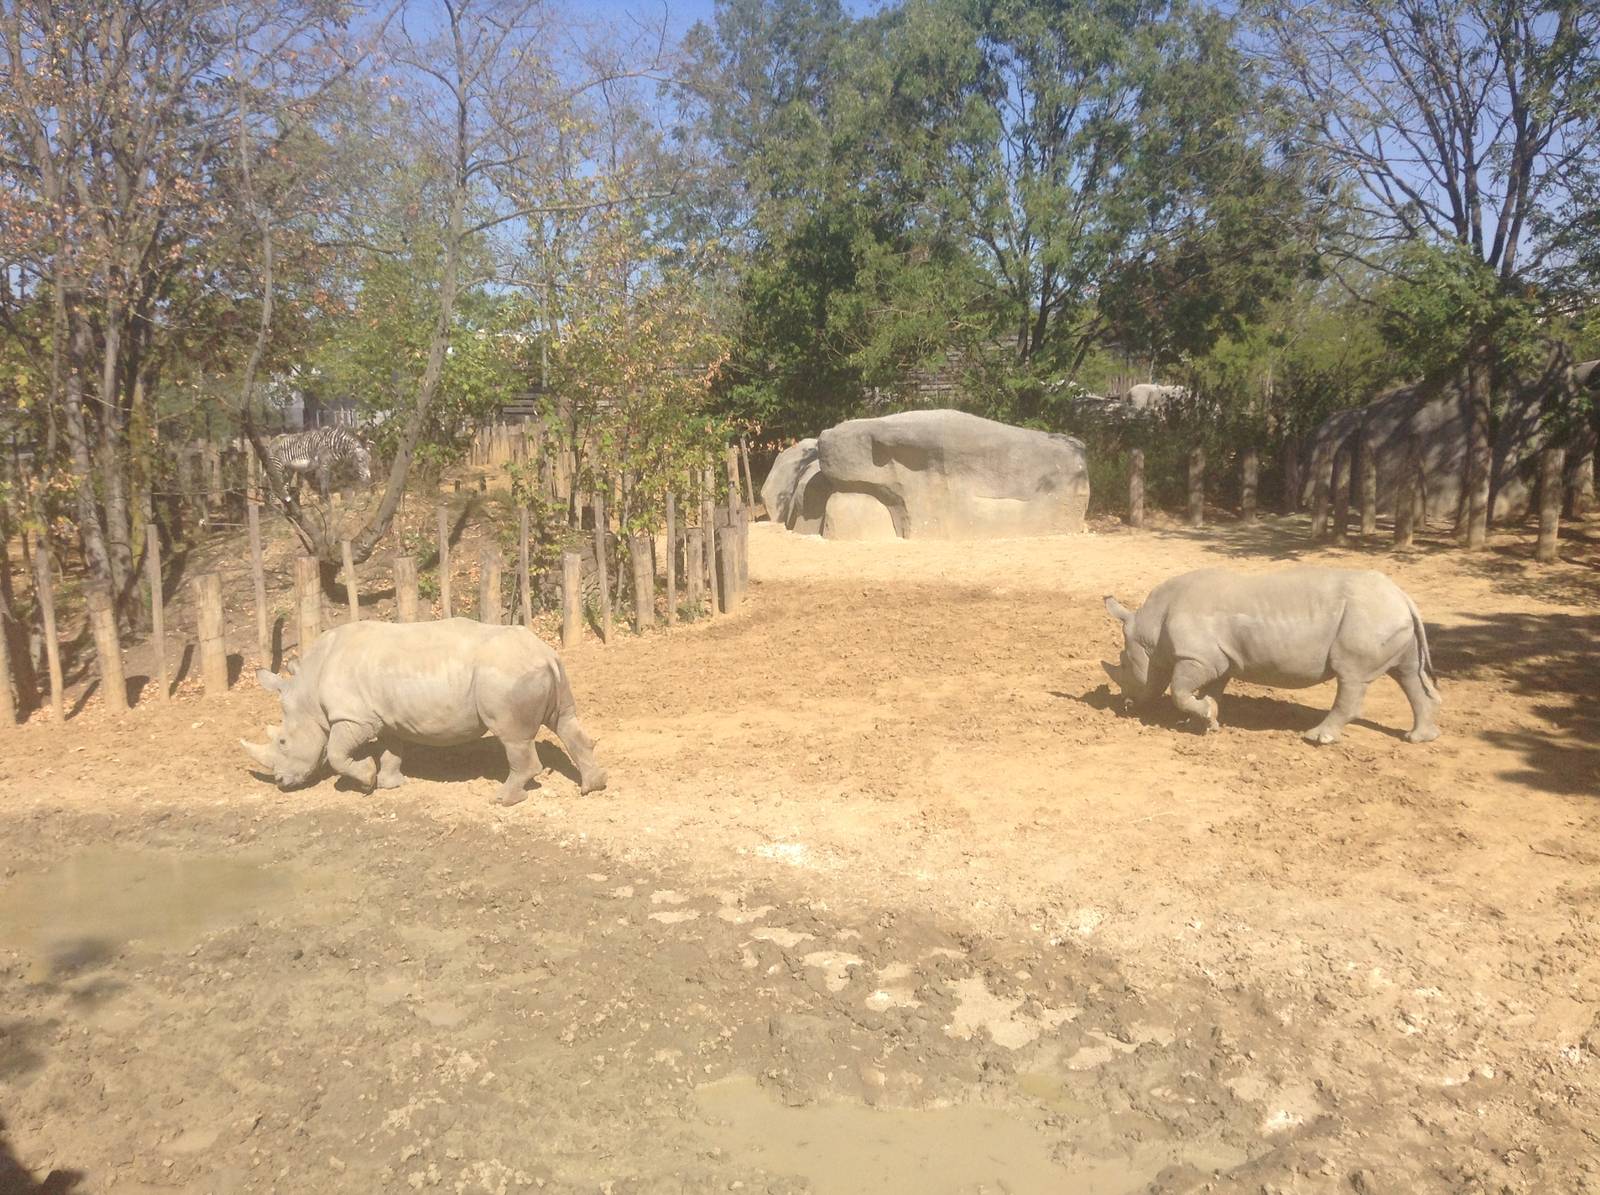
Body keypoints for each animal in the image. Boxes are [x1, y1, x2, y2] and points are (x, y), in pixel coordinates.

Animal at [240, 619, 607, 804]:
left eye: (283, 742)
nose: (281, 782)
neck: (307, 693)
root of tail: (546, 652)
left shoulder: (353, 717)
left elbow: (335, 753)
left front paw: (366, 780)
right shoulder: (385, 717)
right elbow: (391, 749)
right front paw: (389, 784)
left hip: (506, 675)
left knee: (512, 737)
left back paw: (501, 800)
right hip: (543, 668)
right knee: (565, 722)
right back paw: (592, 787)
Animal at [1101, 568, 1440, 744]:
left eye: (1122, 663)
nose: (1125, 705)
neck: (1149, 628)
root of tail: (1403, 596)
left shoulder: (1196, 658)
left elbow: (1179, 690)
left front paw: (1201, 717)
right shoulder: (1218, 660)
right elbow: (1212, 691)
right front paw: (1205, 722)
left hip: (1368, 618)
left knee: (1352, 677)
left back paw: (1317, 738)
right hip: (1388, 617)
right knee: (1407, 674)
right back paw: (1419, 738)